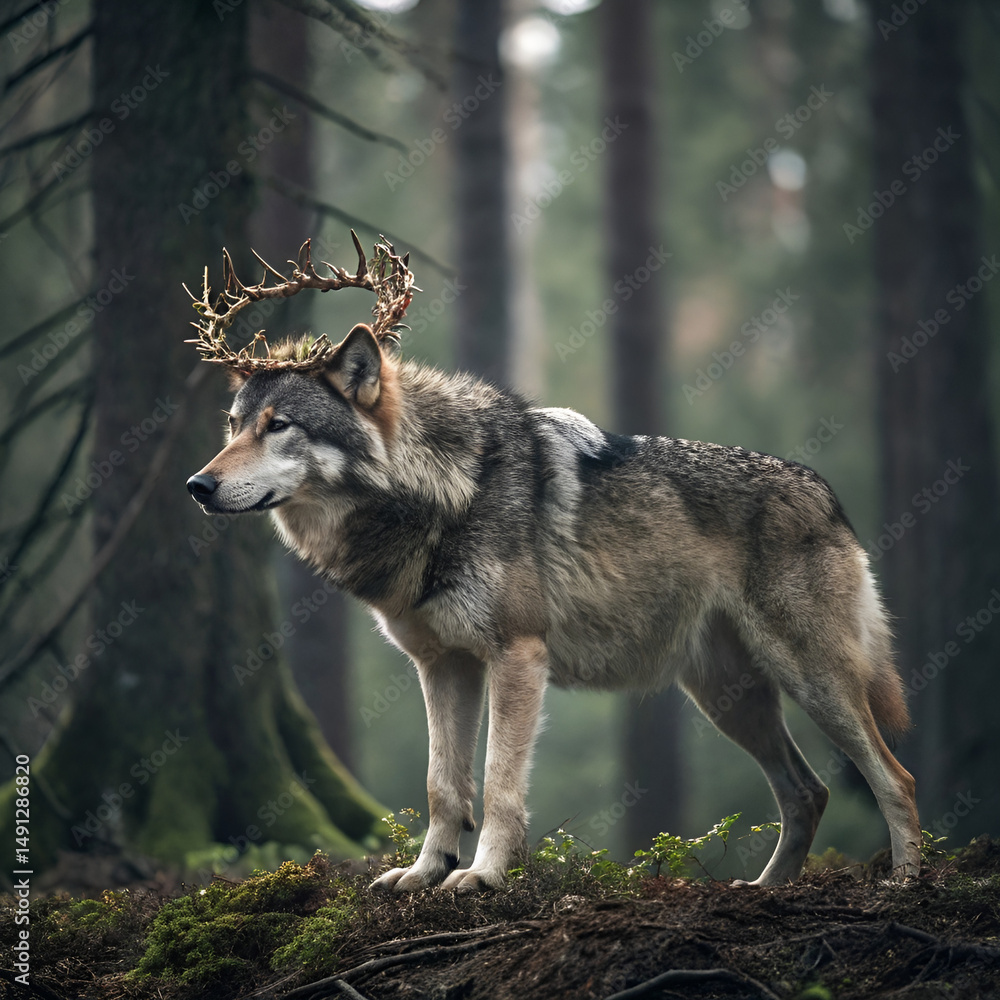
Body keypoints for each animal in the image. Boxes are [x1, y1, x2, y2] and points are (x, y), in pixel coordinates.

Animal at [187, 321, 921, 892]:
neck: (440, 493)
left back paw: (906, 881)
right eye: (233, 426)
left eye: (280, 426)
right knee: (807, 792)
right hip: (727, 700)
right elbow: (441, 785)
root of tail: (826, 493)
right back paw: (764, 889)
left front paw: (482, 875)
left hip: (813, 681)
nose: (198, 484)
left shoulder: (517, 655)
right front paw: (424, 874)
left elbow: (497, 784)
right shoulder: (443, 665)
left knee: (895, 778)